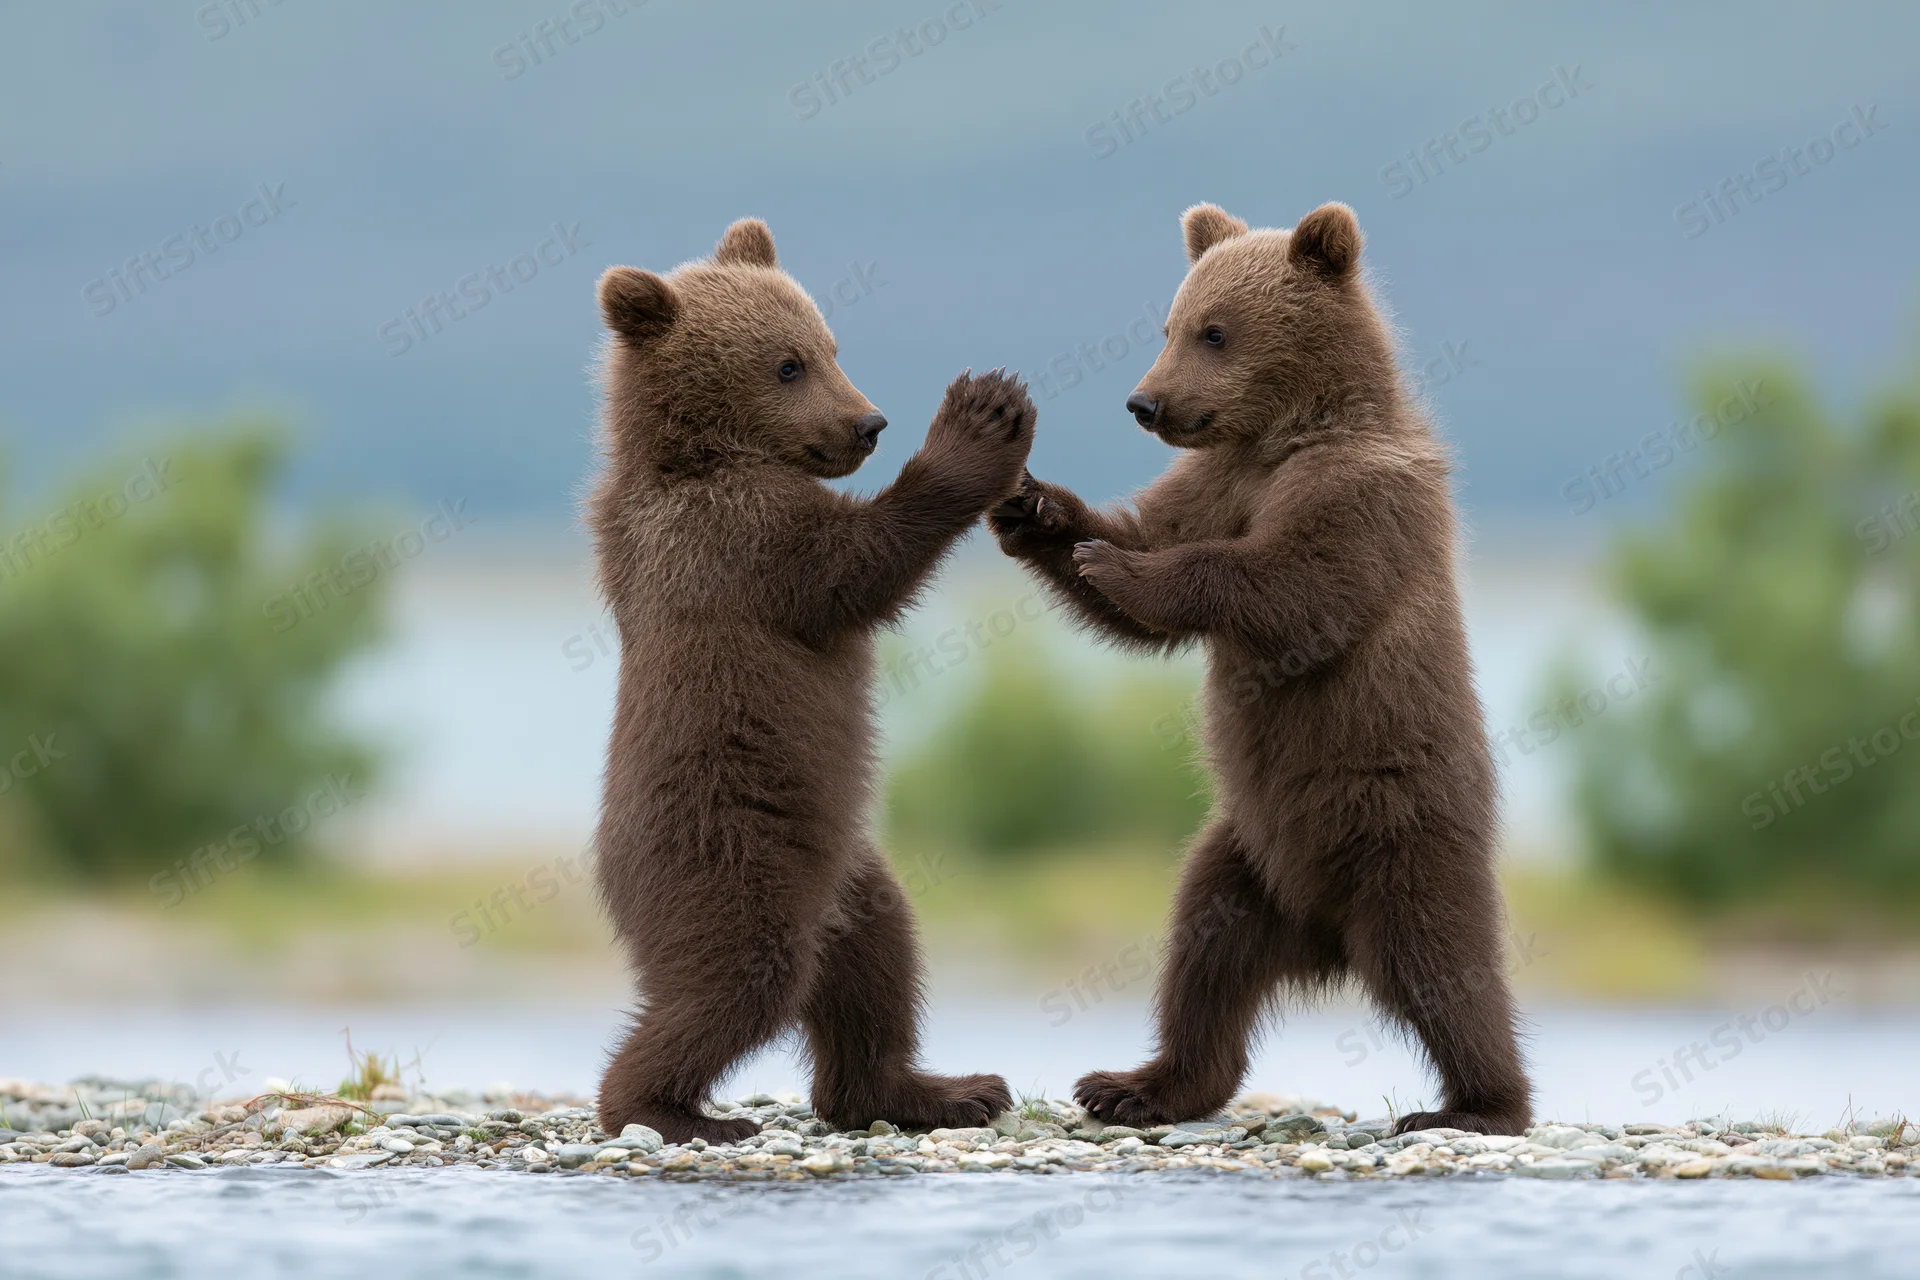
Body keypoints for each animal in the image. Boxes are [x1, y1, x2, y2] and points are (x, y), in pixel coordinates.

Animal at [588, 217, 1031, 1144]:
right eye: (786, 364)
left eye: (830, 345)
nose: (869, 421)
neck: (695, 457)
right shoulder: (733, 537)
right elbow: (854, 569)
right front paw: (982, 420)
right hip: (727, 858)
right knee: (738, 982)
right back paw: (665, 1108)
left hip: (848, 874)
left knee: (878, 962)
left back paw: (937, 1089)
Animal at [989, 202, 1532, 1137]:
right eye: (1169, 324)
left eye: (1215, 330)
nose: (1145, 401)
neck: (1287, 436)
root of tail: (1324, 934)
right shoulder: (1217, 480)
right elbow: (1149, 540)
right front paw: (1038, 509)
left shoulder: (1361, 500)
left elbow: (1294, 590)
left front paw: (1121, 567)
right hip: (1245, 851)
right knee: (1203, 957)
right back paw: (1136, 1083)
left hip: (1398, 829)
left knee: (1443, 966)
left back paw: (1480, 1105)